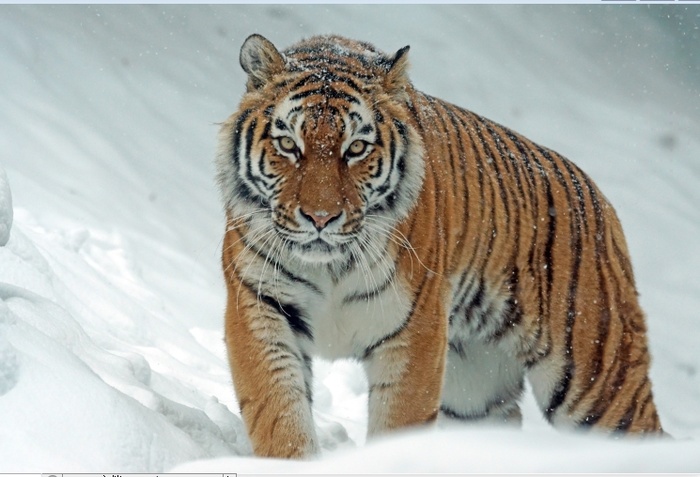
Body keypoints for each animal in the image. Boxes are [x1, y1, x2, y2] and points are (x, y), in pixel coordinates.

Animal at [216, 33, 664, 458]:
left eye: (356, 148)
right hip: (475, 392)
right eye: (288, 145)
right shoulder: (259, 306)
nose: (321, 218)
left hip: (598, 380)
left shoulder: (416, 331)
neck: (330, 266)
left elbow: (398, 424)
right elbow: (279, 413)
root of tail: (601, 201)